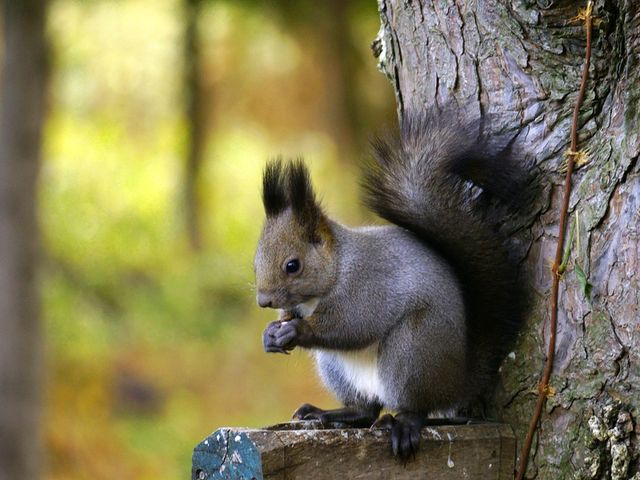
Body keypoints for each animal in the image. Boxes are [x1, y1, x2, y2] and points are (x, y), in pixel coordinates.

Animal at [254, 107, 528, 460]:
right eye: (256, 260)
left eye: (293, 265)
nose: (264, 301)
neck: (337, 267)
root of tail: (457, 380)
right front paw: (271, 334)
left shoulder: (366, 286)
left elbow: (351, 325)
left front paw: (297, 330)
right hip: (336, 367)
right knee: (365, 410)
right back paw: (330, 413)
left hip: (413, 350)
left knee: (416, 407)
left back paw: (404, 423)